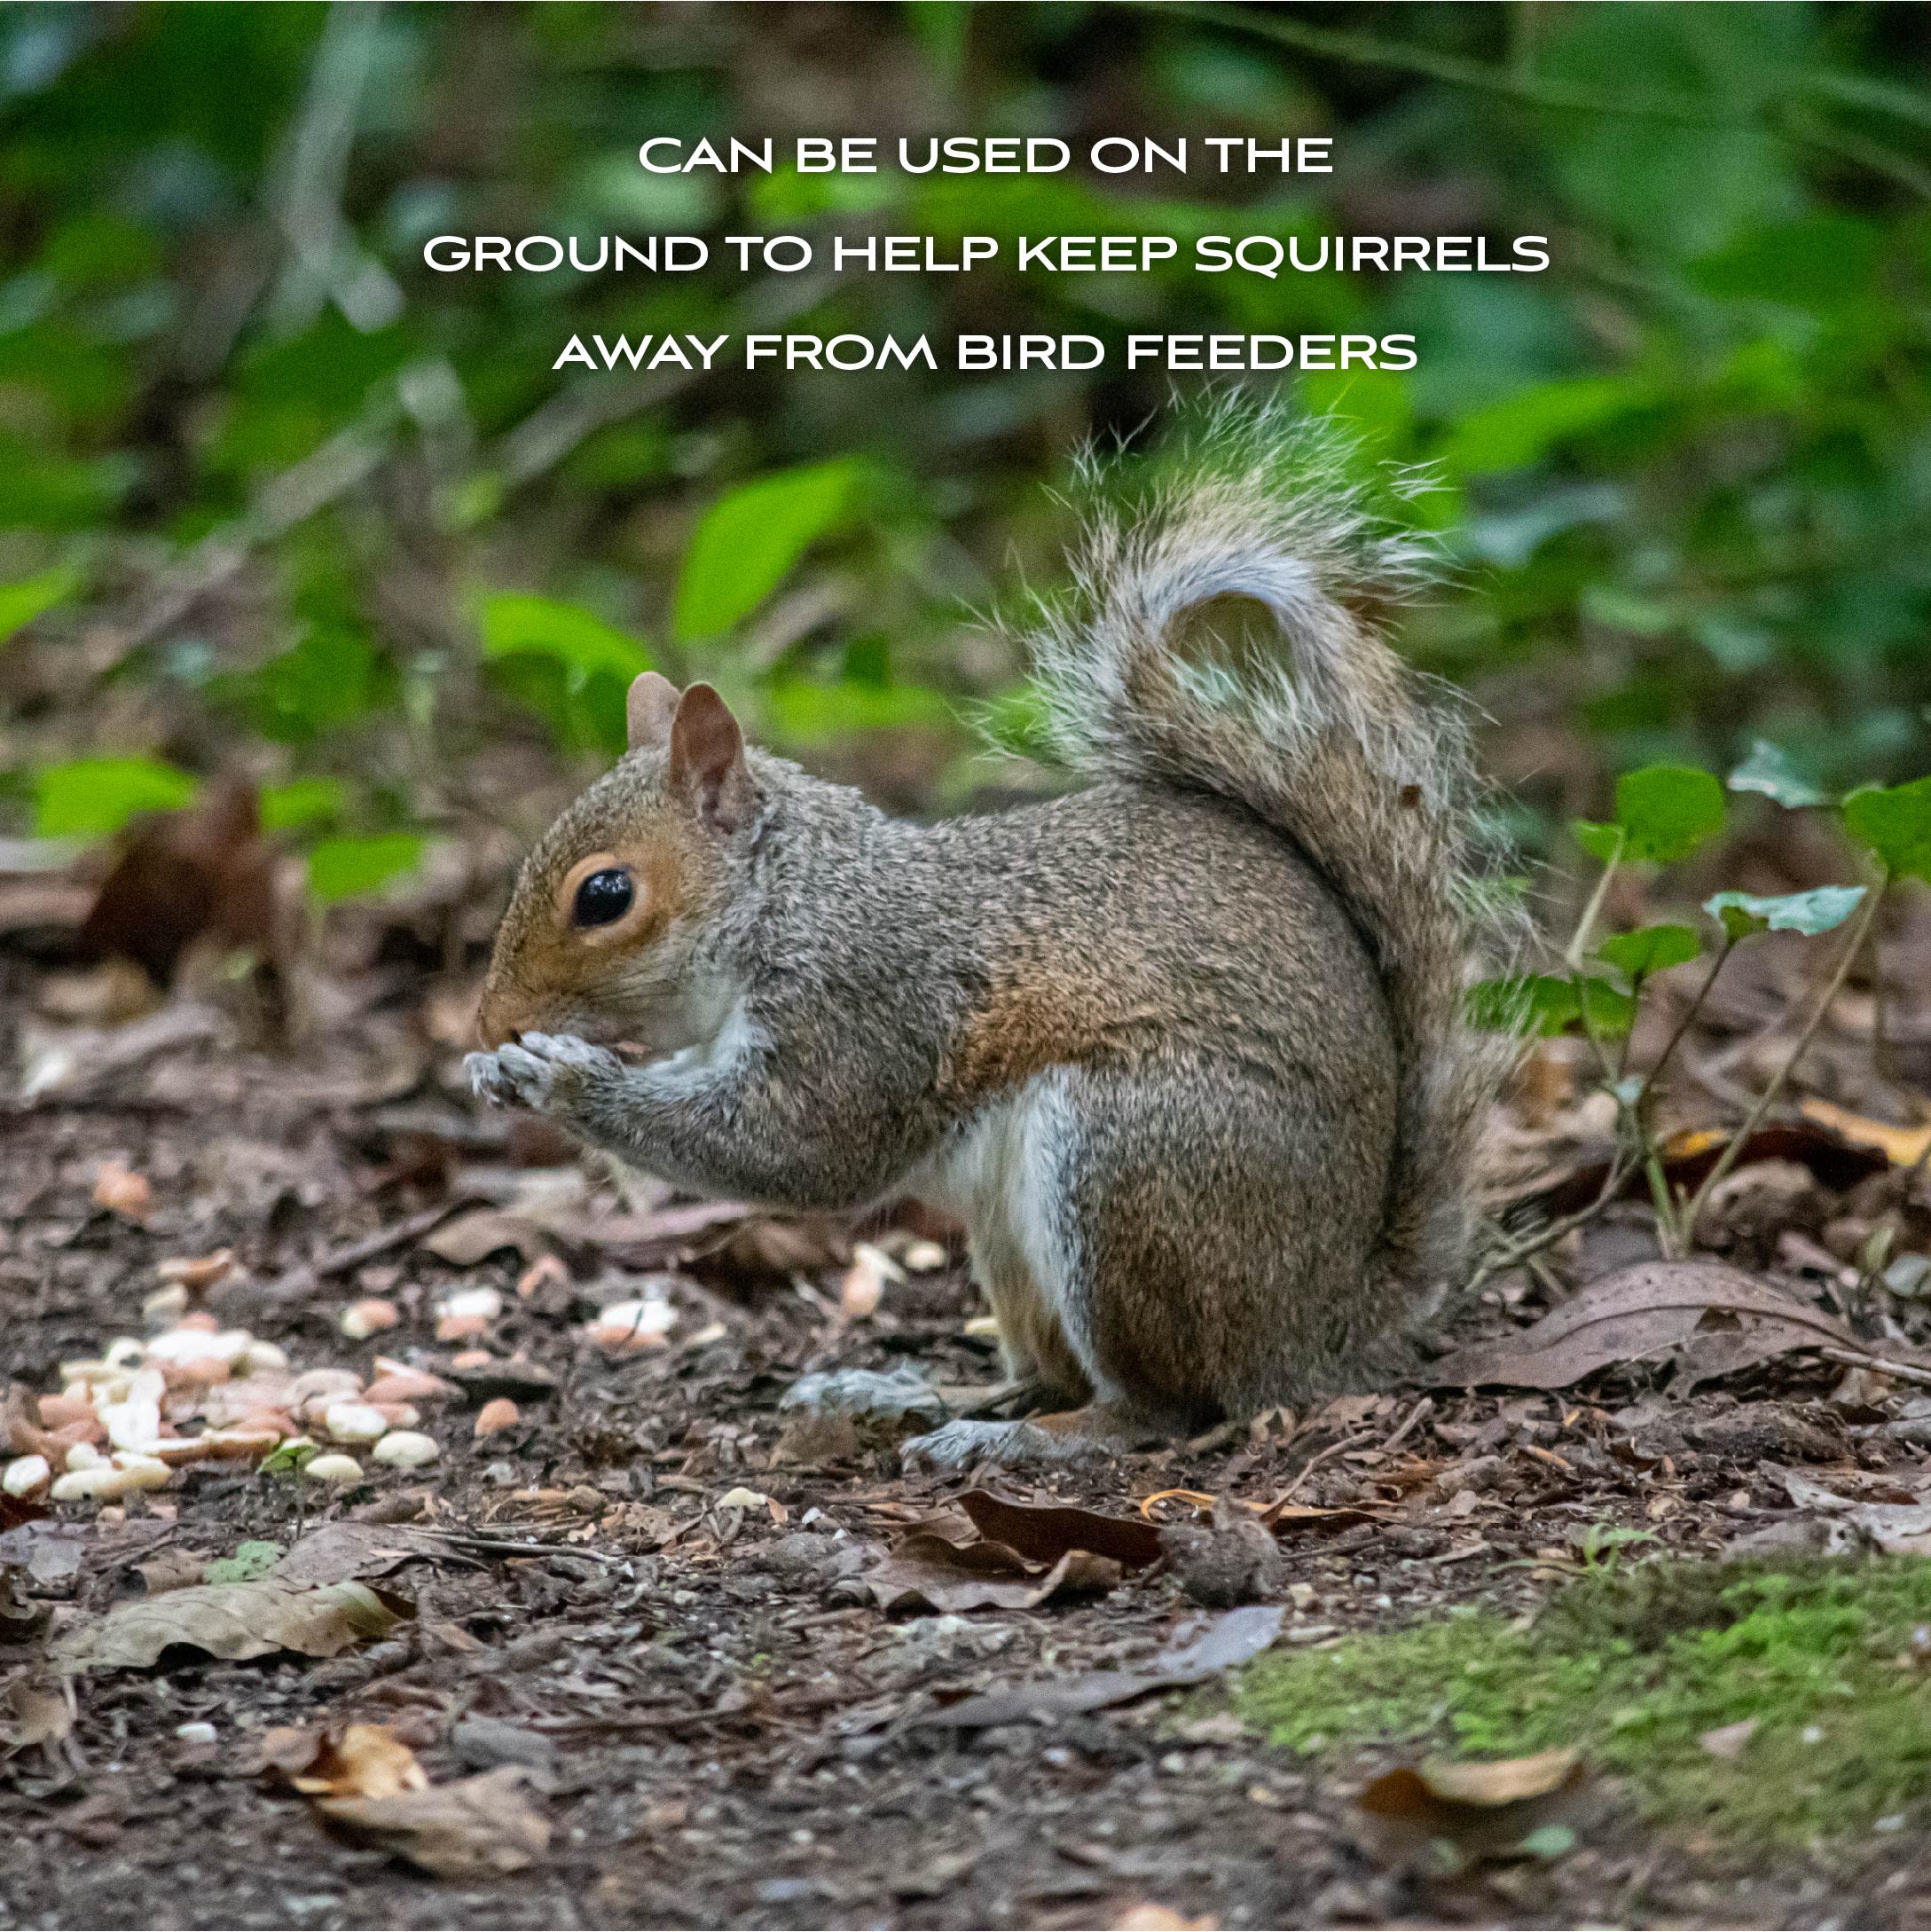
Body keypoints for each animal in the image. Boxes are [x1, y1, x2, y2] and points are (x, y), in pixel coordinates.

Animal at [468, 398, 1509, 1469]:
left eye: (604, 896)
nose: (489, 1020)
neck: (792, 897)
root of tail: (1328, 1316)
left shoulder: (863, 999)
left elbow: (795, 1149)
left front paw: (560, 1082)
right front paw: (504, 1071)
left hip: (1133, 1164)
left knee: (1163, 1405)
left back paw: (1026, 1440)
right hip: (1015, 1244)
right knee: (1048, 1369)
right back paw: (913, 1394)